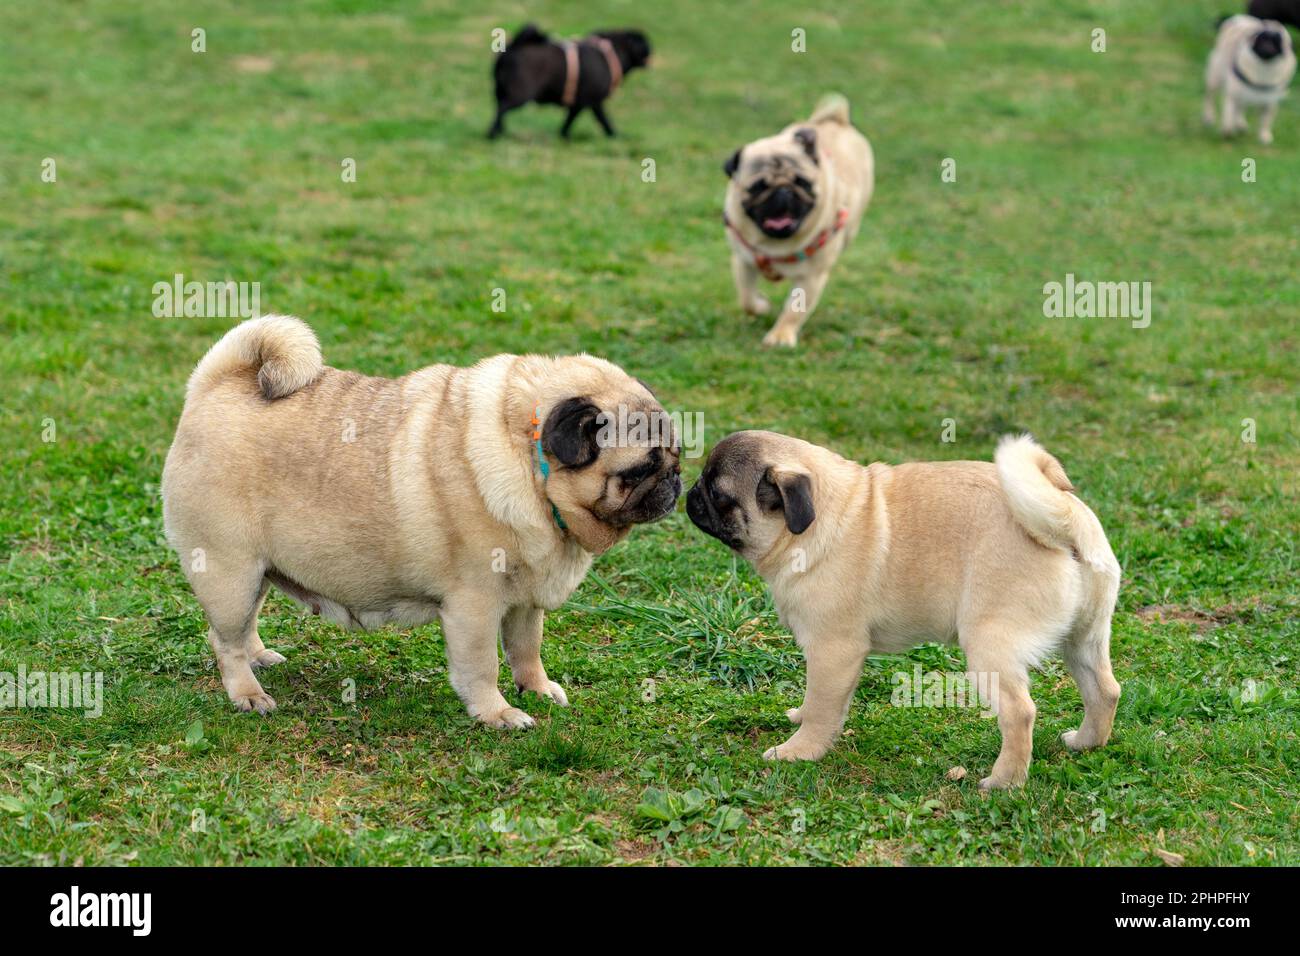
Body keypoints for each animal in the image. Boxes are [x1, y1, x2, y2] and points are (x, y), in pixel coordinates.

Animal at [162, 317, 681, 728]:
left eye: (675, 455)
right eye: (639, 470)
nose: (675, 481)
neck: (529, 464)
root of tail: (217, 385)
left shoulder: (523, 601)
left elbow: (526, 650)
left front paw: (536, 688)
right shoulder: (475, 605)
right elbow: (483, 666)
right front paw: (496, 713)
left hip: (258, 571)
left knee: (245, 625)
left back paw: (259, 657)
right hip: (230, 571)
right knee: (224, 639)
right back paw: (247, 692)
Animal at [686, 429, 1123, 790]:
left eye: (719, 495)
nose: (691, 493)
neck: (819, 520)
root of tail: (1063, 523)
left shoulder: (833, 649)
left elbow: (822, 707)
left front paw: (800, 750)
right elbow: (821, 700)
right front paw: (803, 719)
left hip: (989, 644)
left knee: (1020, 713)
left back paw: (1003, 782)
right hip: (1084, 636)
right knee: (1104, 690)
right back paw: (1085, 743)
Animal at [722, 92, 873, 348]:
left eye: (802, 183)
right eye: (758, 186)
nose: (784, 190)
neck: (774, 245)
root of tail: (835, 119)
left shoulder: (811, 278)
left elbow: (793, 311)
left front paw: (781, 335)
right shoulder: (743, 262)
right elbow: (746, 298)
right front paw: (760, 306)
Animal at [1201, 13, 1294, 141]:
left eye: (1277, 41)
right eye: (1261, 38)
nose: (1268, 45)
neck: (1264, 69)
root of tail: (1239, 19)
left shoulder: (1269, 102)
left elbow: (1265, 121)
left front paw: (1264, 136)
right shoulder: (1233, 95)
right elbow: (1228, 117)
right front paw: (1227, 132)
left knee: (1240, 109)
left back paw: (1241, 125)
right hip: (1215, 79)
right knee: (1210, 97)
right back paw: (1209, 117)